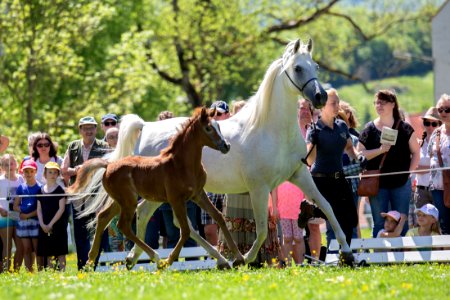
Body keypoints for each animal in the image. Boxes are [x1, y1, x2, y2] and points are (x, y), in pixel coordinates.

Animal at [70, 108, 244, 270]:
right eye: (208, 128)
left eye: (218, 126)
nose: (226, 146)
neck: (181, 164)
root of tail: (108, 165)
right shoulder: (176, 199)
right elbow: (185, 230)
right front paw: (169, 260)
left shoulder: (198, 194)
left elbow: (219, 217)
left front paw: (239, 258)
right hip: (128, 202)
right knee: (123, 226)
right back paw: (157, 259)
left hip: (121, 201)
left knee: (103, 217)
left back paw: (90, 262)